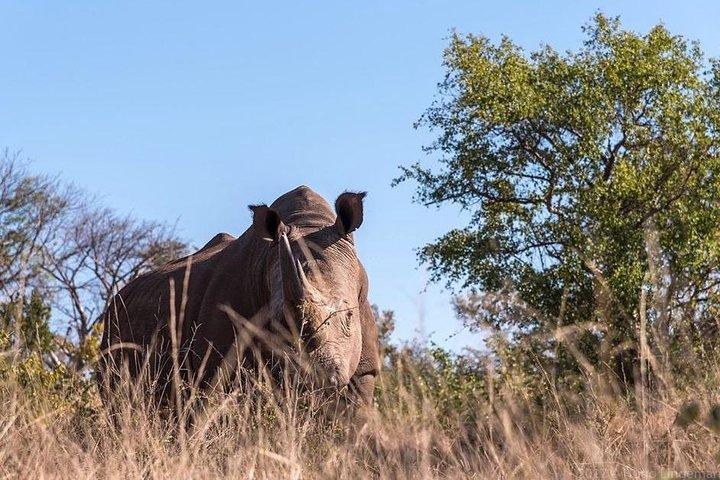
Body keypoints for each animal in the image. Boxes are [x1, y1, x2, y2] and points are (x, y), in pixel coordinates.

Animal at [98, 186, 379, 407]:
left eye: (349, 316)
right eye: (278, 323)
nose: (320, 382)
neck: (310, 223)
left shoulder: (364, 369)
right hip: (112, 325)